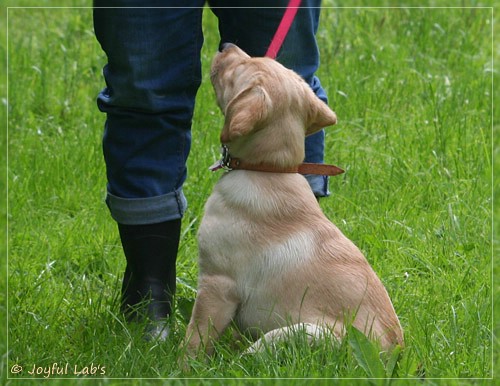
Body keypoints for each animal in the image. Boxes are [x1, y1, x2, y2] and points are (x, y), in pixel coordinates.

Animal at [183, 43, 402, 360]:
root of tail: (392, 357)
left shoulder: (217, 283)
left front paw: (182, 366)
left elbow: (195, 338)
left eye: (241, 67)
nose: (225, 46)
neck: (269, 170)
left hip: (303, 333)